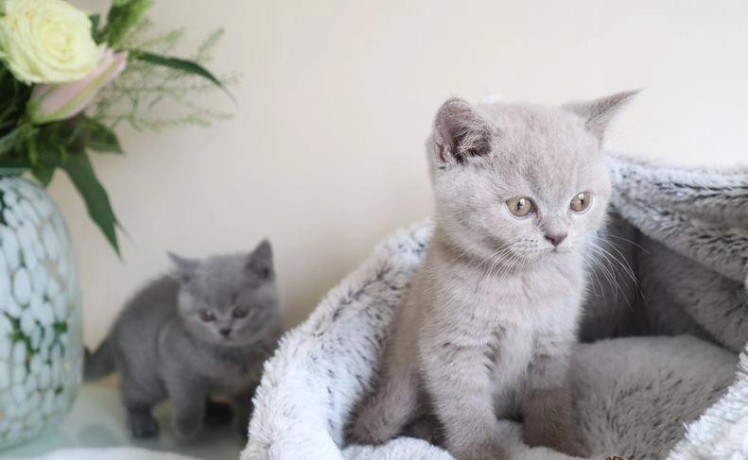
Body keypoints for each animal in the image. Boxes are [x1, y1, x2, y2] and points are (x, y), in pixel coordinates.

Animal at [84, 241, 282, 438]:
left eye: (242, 311)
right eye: (206, 315)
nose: (224, 330)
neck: (234, 354)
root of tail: (114, 328)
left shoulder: (250, 380)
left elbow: (248, 404)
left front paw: (247, 429)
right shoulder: (174, 358)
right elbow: (187, 394)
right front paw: (186, 425)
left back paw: (216, 412)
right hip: (144, 375)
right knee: (131, 394)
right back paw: (141, 421)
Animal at [348, 91, 636, 458]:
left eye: (581, 202)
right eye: (520, 206)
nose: (558, 236)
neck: (522, 283)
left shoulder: (554, 342)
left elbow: (551, 400)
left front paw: (557, 446)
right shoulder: (453, 348)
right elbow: (467, 411)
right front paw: (485, 452)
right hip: (400, 387)